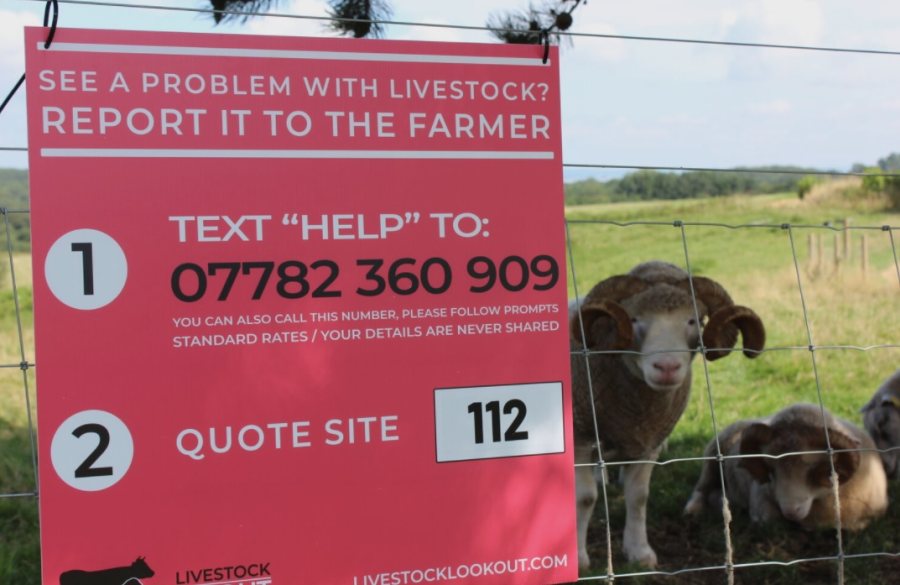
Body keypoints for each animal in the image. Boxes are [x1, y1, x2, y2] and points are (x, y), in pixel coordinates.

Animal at [572, 262, 764, 572]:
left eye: (694, 320)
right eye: (634, 319)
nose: (667, 367)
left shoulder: (648, 441)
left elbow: (638, 498)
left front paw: (639, 552)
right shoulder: (580, 436)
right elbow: (585, 498)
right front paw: (578, 559)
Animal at [684, 402, 888, 528]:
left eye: (812, 470)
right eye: (770, 469)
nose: (790, 512)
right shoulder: (760, 503)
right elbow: (768, 519)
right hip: (712, 457)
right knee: (701, 488)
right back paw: (695, 510)